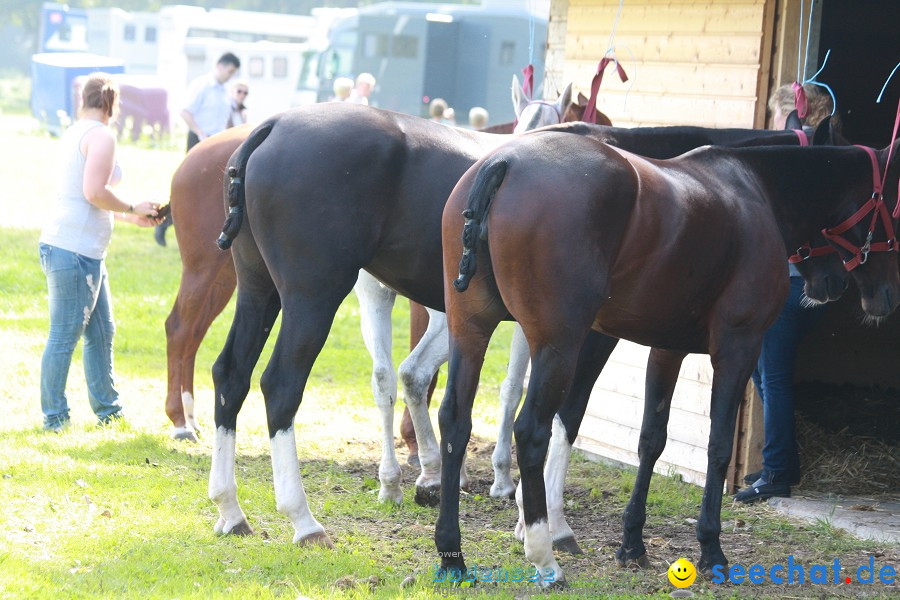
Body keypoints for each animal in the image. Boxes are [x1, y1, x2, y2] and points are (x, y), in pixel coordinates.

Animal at [438, 119, 900, 584]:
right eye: (894, 207)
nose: (844, 286)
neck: (753, 190)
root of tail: (505, 160)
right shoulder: (738, 348)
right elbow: (718, 445)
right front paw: (711, 548)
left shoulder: (666, 350)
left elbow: (651, 441)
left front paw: (632, 542)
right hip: (558, 346)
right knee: (532, 431)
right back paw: (544, 558)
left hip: (470, 332)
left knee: (455, 422)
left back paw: (452, 556)